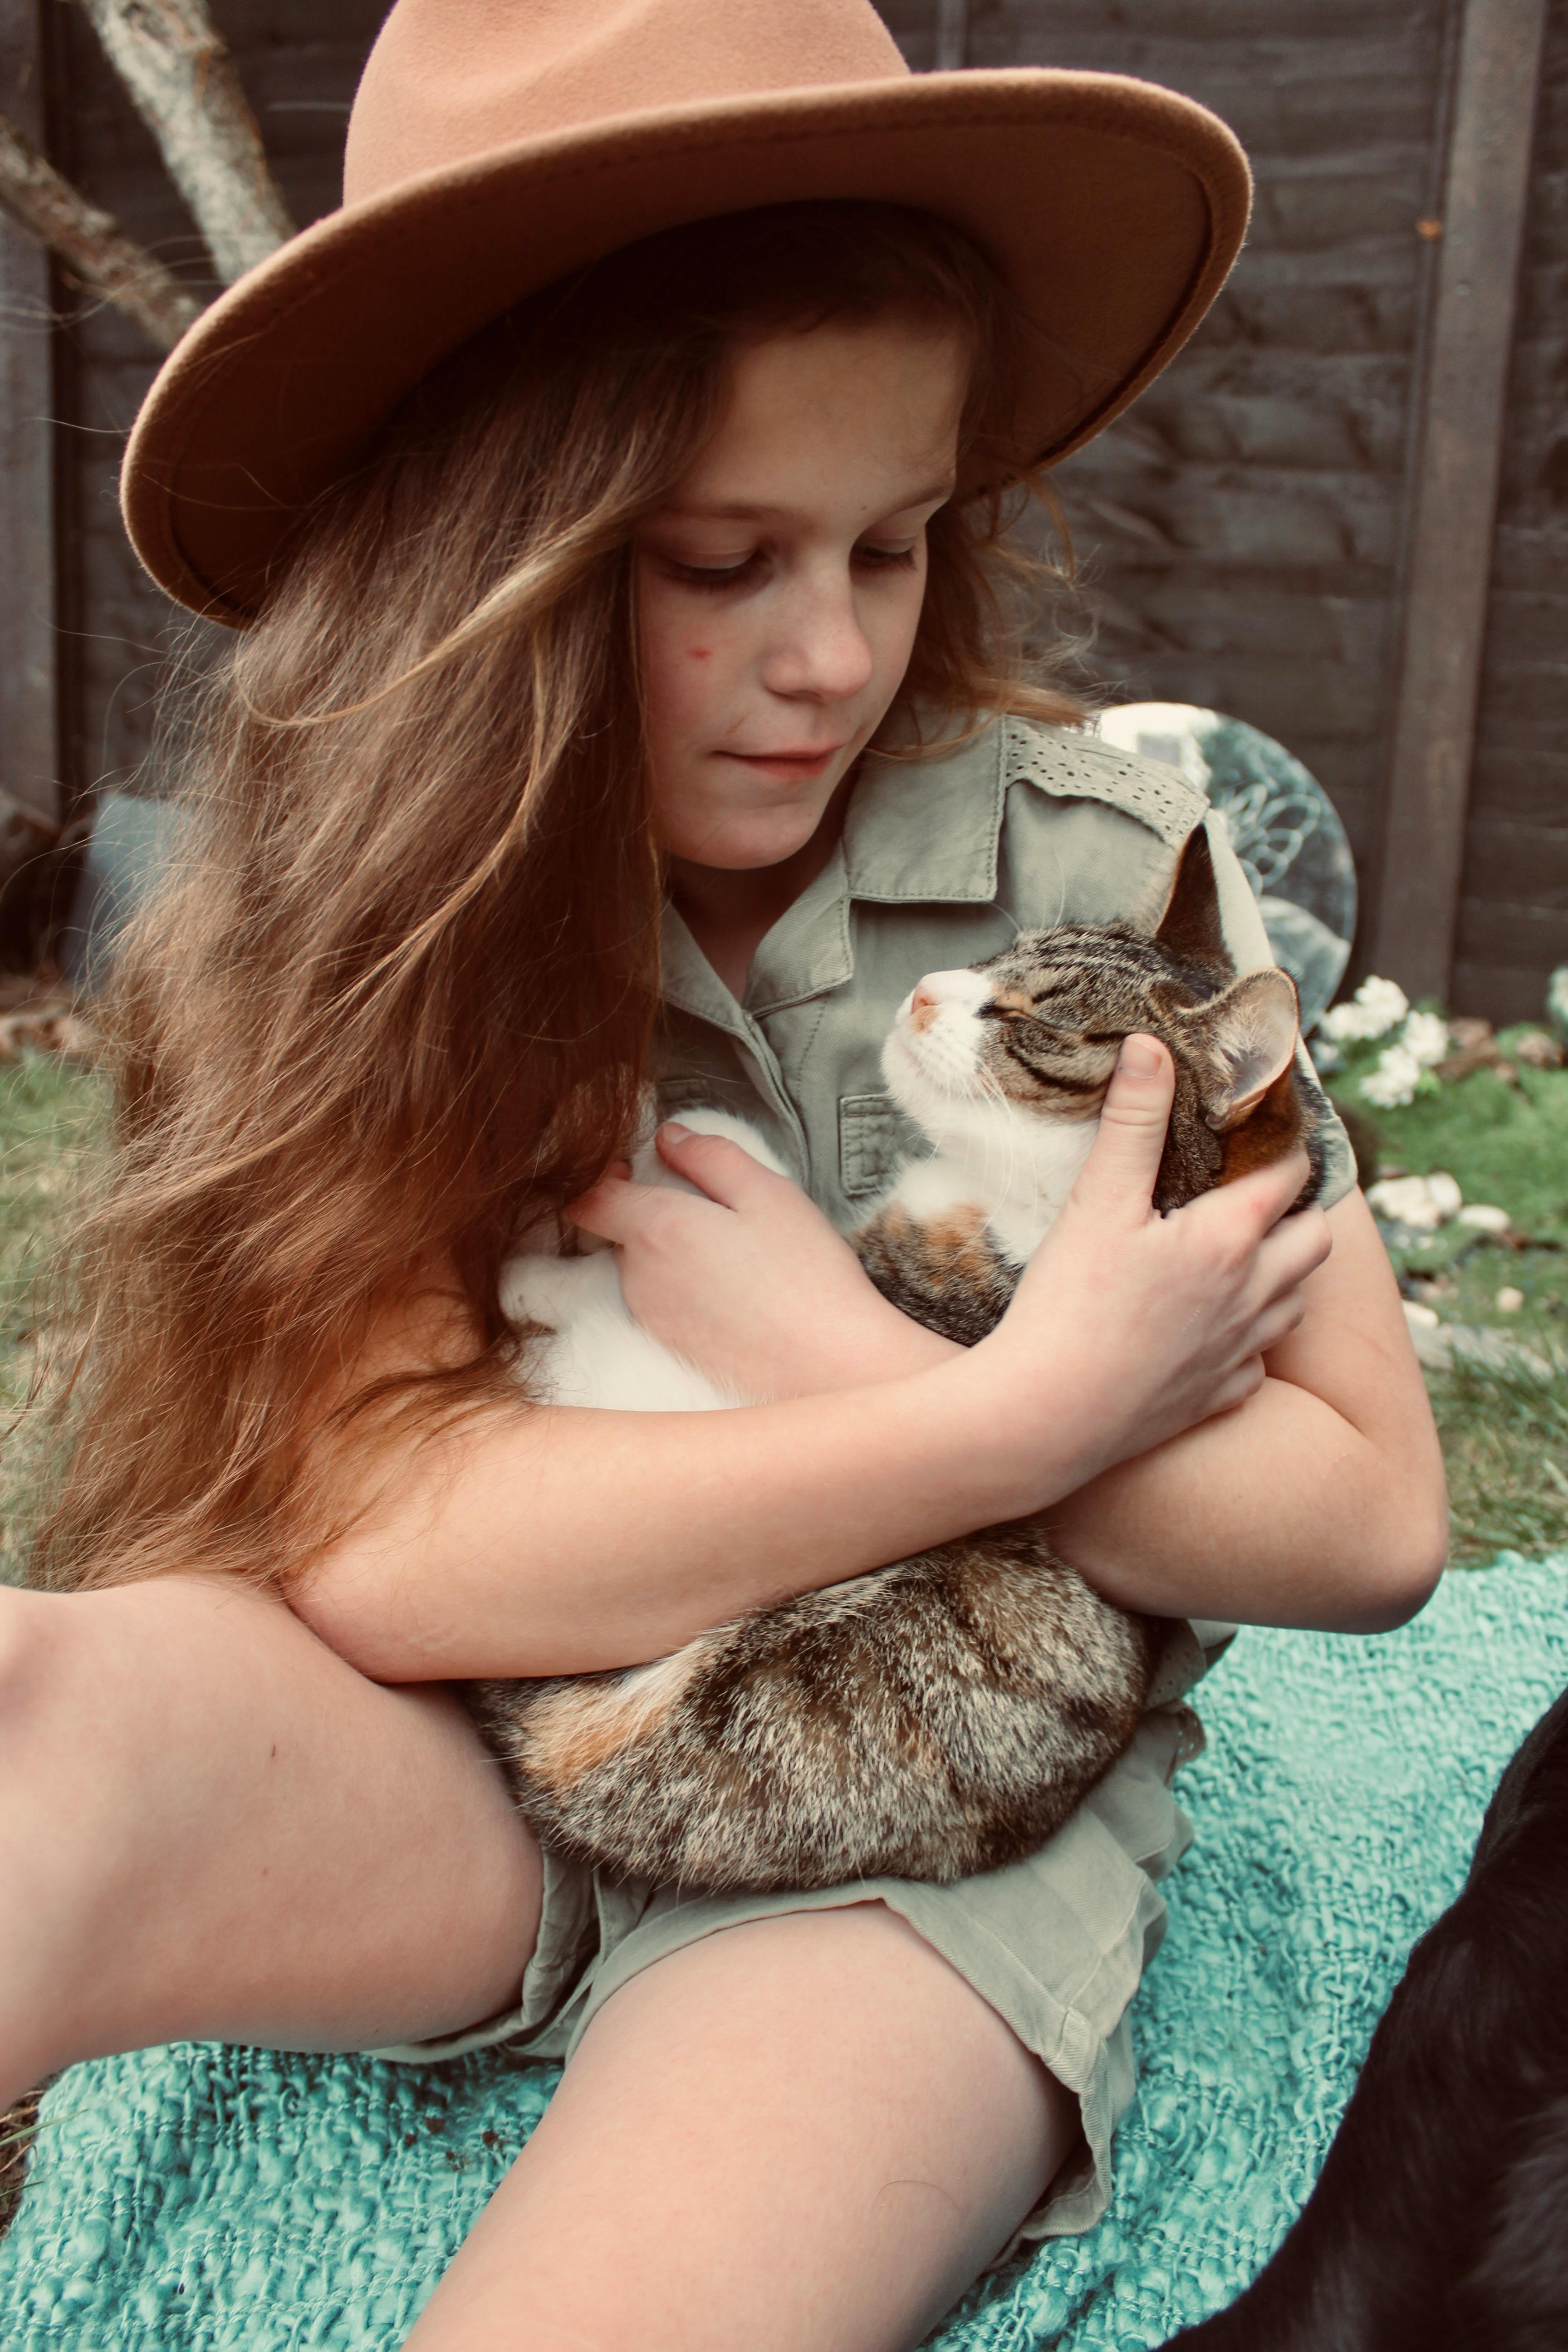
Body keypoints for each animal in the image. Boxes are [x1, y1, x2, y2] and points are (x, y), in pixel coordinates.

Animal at [475, 833, 1326, 1891]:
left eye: (1026, 1013)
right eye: (994, 959)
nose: (924, 988)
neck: (1013, 1204)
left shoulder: (900, 1290)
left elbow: (651, 1271)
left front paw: (606, 1208)